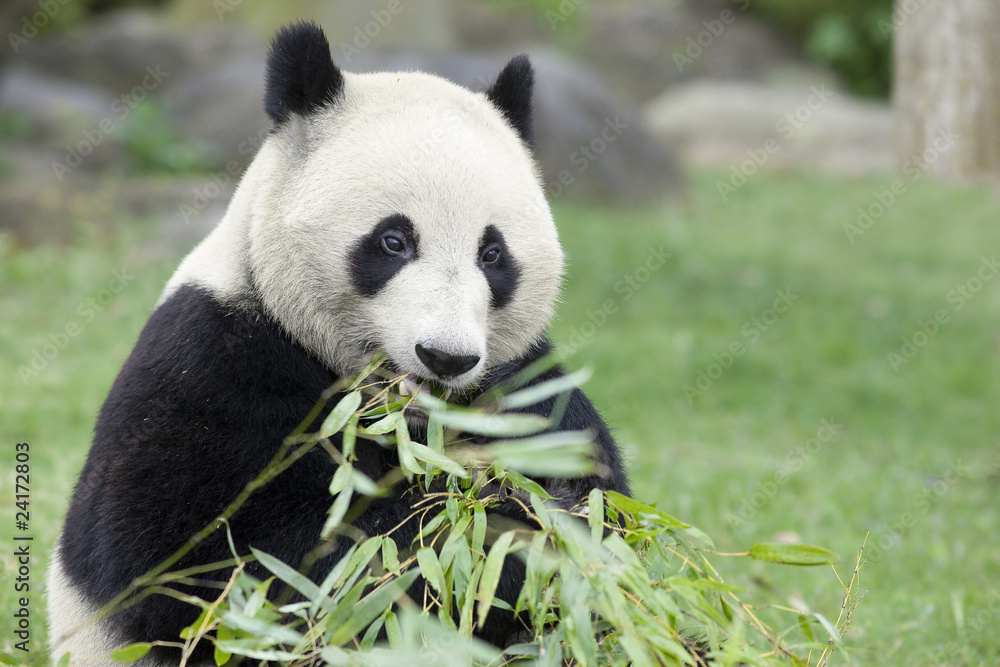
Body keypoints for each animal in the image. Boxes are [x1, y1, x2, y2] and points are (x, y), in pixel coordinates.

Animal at [48, 22, 624, 667]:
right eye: (393, 241)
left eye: (492, 253)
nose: (445, 357)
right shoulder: (210, 364)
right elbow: (234, 569)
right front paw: (501, 528)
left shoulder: (533, 381)